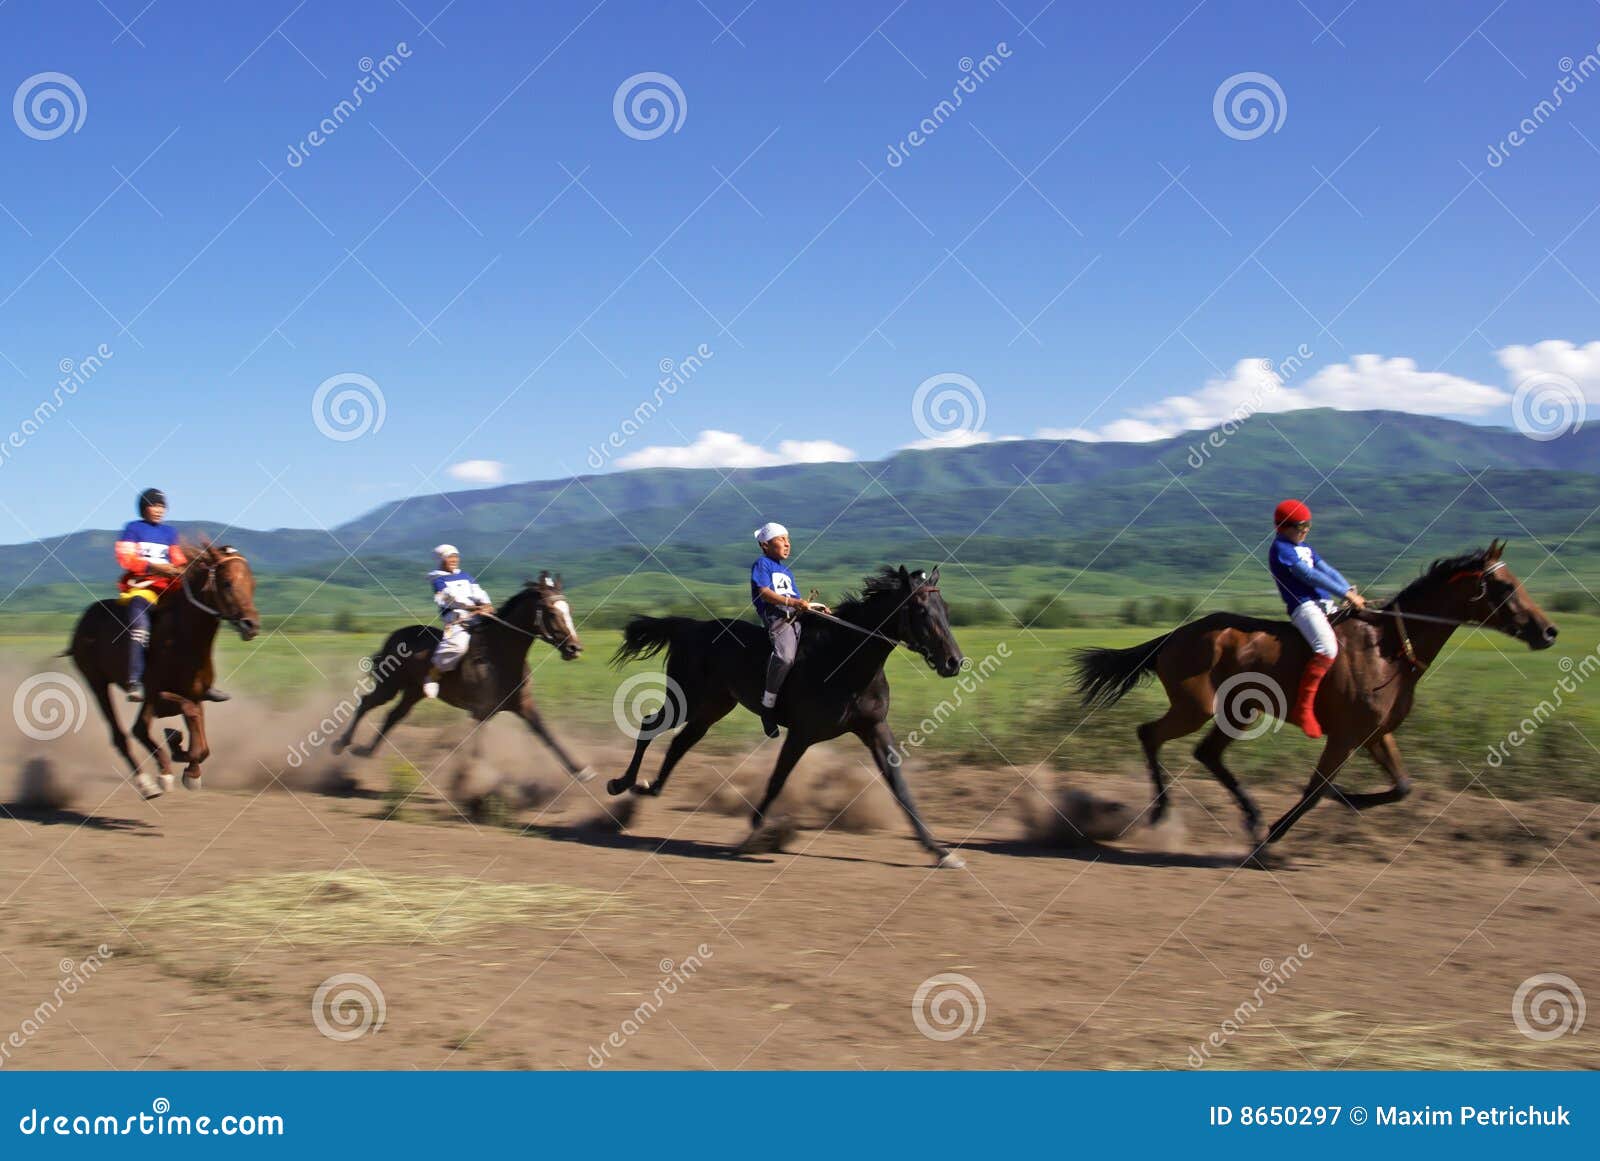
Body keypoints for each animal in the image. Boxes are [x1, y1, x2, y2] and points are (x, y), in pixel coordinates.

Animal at [68, 546, 259, 799]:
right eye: (227, 582)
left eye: (252, 584)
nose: (252, 625)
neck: (183, 637)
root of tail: (86, 617)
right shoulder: (156, 693)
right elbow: (189, 716)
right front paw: (176, 748)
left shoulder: (195, 693)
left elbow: (202, 742)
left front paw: (189, 768)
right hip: (97, 683)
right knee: (122, 734)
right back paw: (147, 782)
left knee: (139, 728)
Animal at [331, 572, 595, 783]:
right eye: (551, 612)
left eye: (569, 610)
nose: (574, 648)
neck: (500, 654)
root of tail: (395, 635)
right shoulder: (481, 711)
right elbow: (477, 751)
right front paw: (469, 784)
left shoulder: (524, 706)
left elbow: (546, 735)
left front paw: (581, 770)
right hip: (390, 685)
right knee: (366, 703)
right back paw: (340, 744)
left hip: (413, 691)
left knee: (393, 716)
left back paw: (366, 751)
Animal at [604, 569, 966, 869]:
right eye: (921, 611)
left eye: (946, 610)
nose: (954, 661)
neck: (845, 660)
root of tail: (691, 626)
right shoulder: (802, 734)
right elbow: (778, 779)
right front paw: (760, 832)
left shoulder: (874, 728)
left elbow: (899, 786)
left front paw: (939, 851)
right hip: (687, 701)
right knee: (650, 726)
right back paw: (621, 783)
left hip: (713, 707)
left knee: (681, 742)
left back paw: (650, 787)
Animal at [1068, 543, 1555, 857]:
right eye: (1505, 587)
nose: (1548, 631)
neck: (1390, 648)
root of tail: (1175, 635)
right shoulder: (1344, 736)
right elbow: (1317, 788)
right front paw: (1277, 833)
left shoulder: (1376, 734)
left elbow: (1401, 787)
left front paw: (1341, 801)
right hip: (1196, 707)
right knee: (1150, 735)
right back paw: (1163, 813)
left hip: (1238, 711)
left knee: (1206, 753)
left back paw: (1248, 815)